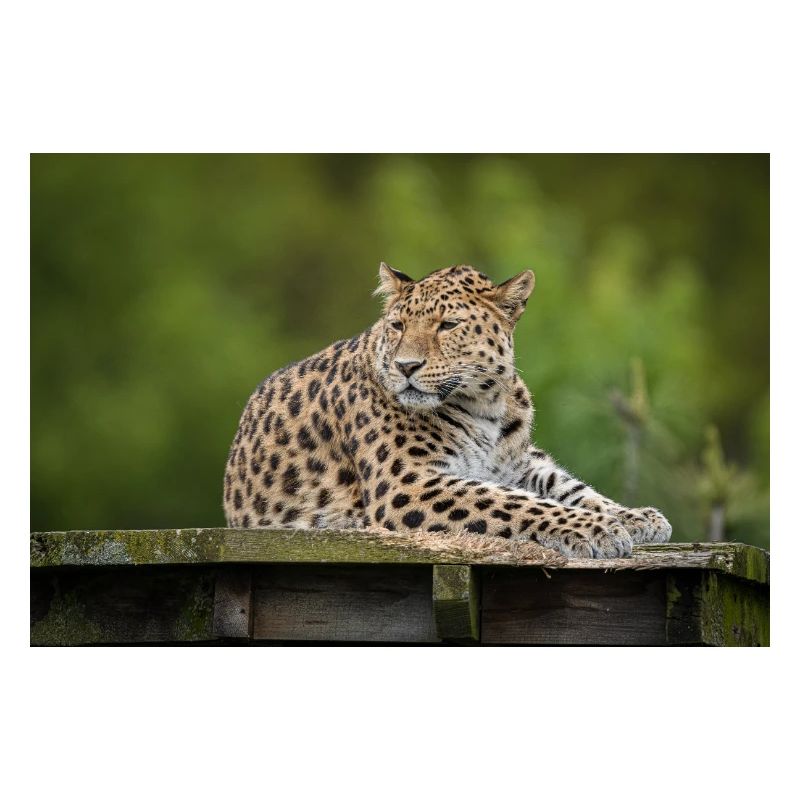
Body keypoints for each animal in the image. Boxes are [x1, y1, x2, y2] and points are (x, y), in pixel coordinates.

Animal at [223, 263, 672, 559]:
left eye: (448, 325)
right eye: (398, 326)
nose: (406, 366)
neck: (487, 404)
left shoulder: (517, 462)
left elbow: (567, 487)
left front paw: (635, 517)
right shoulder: (407, 483)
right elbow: (515, 503)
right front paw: (599, 529)